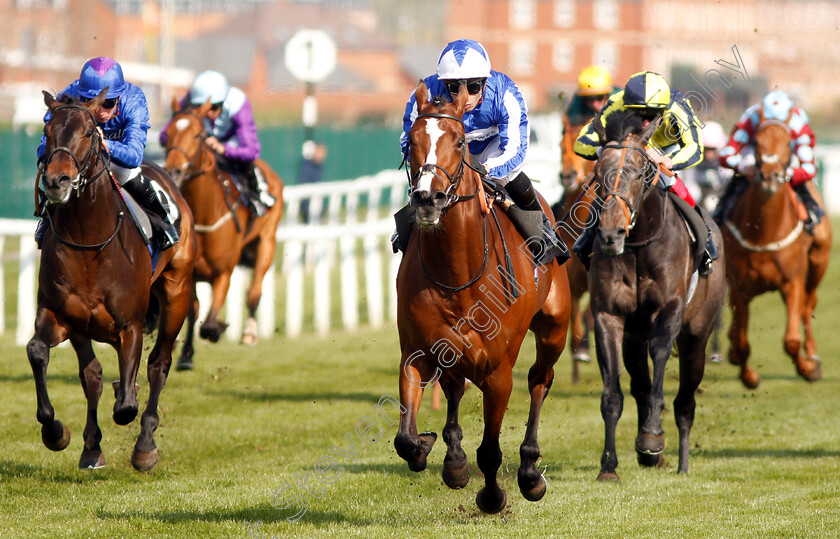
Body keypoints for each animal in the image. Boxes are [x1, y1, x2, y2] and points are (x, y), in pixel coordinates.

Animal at [27, 90, 195, 470]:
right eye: (48, 131)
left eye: (90, 132)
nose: (56, 181)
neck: (90, 241)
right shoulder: (61, 315)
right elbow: (39, 352)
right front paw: (56, 431)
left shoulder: (130, 324)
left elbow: (127, 404)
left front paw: (128, 403)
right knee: (93, 374)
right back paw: (92, 446)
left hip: (176, 294)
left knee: (159, 365)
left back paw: (145, 445)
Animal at [162, 99, 284, 370]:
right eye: (168, 133)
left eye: (197, 135)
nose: (174, 171)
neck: (206, 214)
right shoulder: (190, 273)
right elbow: (193, 311)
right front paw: (186, 355)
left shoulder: (224, 272)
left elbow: (209, 324)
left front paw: (218, 327)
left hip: (266, 242)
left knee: (254, 292)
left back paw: (249, 333)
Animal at [394, 81, 572, 516]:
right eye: (412, 140)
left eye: (459, 141)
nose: (428, 198)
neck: (457, 273)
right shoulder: (417, 353)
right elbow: (405, 439)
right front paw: (432, 448)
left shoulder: (498, 371)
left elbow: (491, 451)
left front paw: (493, 496)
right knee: (455, 388)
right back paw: (454, 459)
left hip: (554, 328)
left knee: (540, 380)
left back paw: (529, 471)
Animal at [720, 117, 832, 388]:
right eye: (757, 143)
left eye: (788, 143)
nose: (769, 176)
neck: (764, 233)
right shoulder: (739, 288)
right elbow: (741, 342)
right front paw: (749, 377)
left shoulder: (792, 282)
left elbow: (791, 341)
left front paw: (807, 369)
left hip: (818, 262)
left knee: (808, 306)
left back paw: (812, 355)